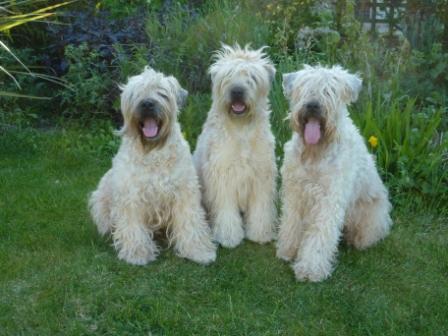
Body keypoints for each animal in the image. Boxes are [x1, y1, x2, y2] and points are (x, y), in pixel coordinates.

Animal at [88, 66, 217, 266]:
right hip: (100, 199)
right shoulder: (131, 196)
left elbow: (191, 222)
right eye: (136, 93)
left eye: (161, 92)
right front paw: (137, 253)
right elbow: (132, 226)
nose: (147, 104)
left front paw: (198, 251)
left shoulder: (184, 192)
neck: (153, 152)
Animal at [194, 44, 278, 248]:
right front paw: (229, 237)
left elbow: (260, 209)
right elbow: (226, 211)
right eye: (228, 76)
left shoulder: (261, 175)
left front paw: (260, 233)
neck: (242, 130)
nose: (237, 91)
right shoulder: (223, 175)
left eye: (252, 77)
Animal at [276, 65, 392, 280]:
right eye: (304, 87)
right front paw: (287, 250)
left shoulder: (329, 199)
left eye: (330, 90)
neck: (315, 156)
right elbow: (291, 223)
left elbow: (319, 235)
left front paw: (310, 269)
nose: (313, 105)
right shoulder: (295, 192)